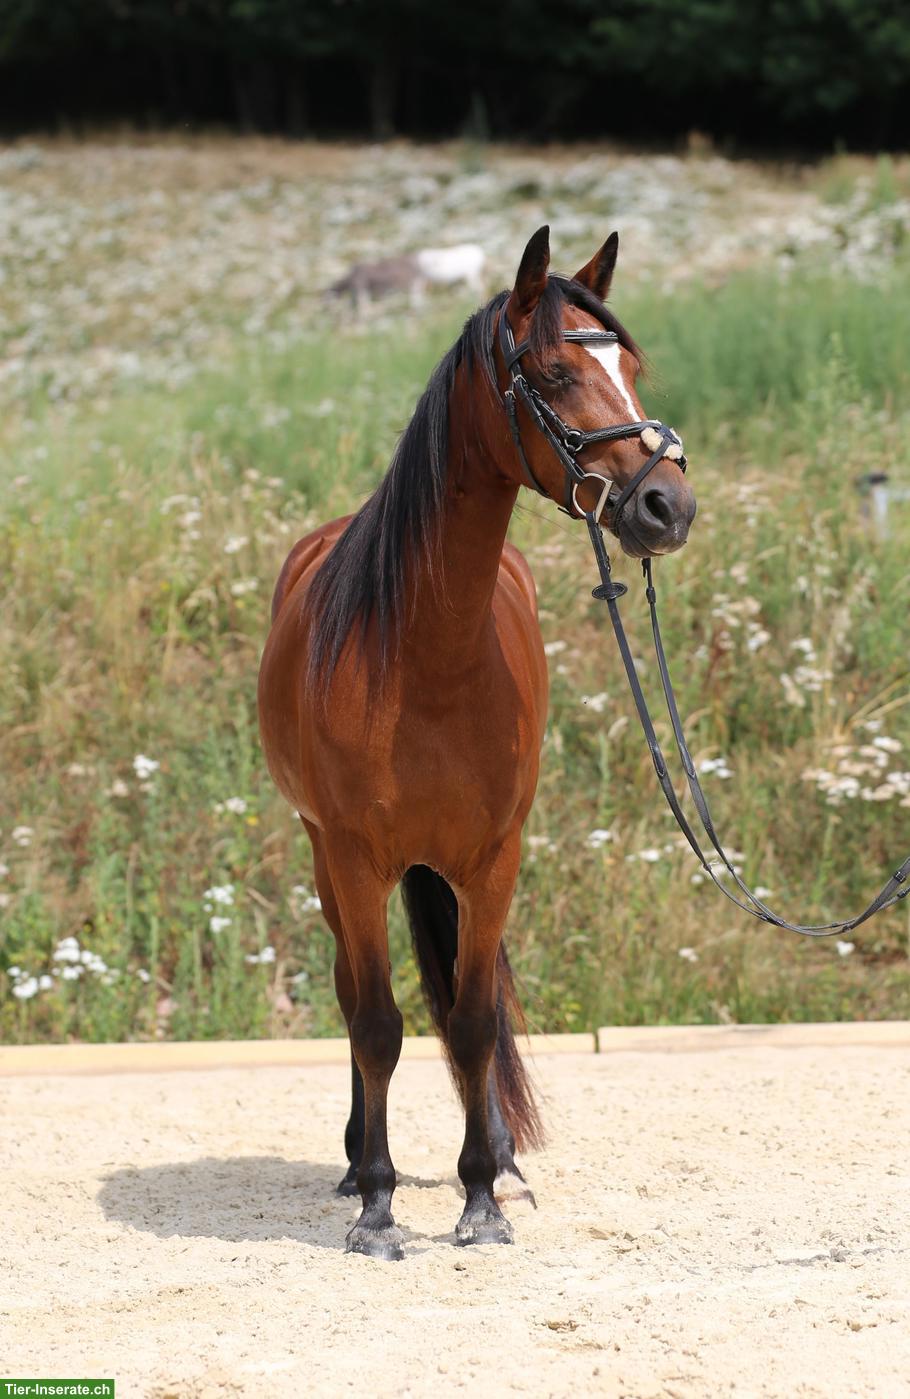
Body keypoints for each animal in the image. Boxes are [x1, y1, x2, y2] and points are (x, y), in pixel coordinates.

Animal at [258, 226, 696, 1260]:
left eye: (628, 365)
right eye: (552, 369)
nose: (668, 505)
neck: (427, 653)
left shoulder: (495, 859)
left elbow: (472, 1017)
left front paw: (482, 1195)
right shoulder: (355, 860)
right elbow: (377, 1022)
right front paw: (380, 1207)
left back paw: (496, 1153)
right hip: (327, 864)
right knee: (351, 995)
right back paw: (355, 1164)